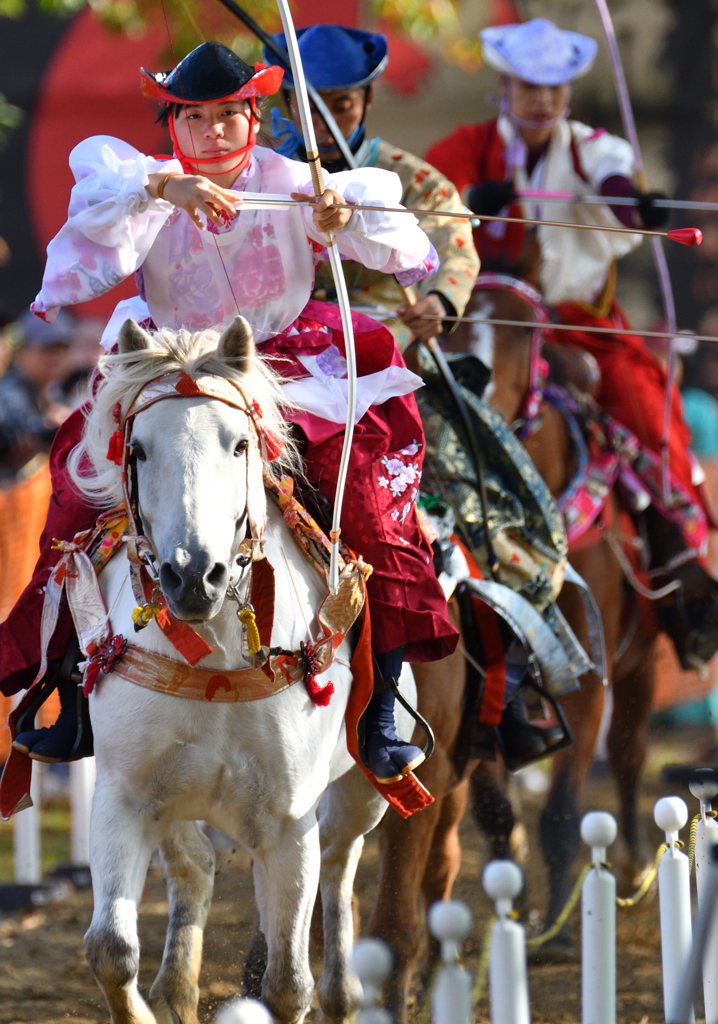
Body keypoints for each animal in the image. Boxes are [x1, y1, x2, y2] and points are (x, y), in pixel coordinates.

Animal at [72, 315, 413, 1019]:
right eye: (137, 449)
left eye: (238, 446)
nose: (191, 575)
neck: (218, 655)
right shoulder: (123, 798)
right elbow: (110, 949)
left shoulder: (287, 822)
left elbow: (288, 982)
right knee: (195, 869)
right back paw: (175, 991)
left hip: (359, 796)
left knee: (339, 869)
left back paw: (344, 991)